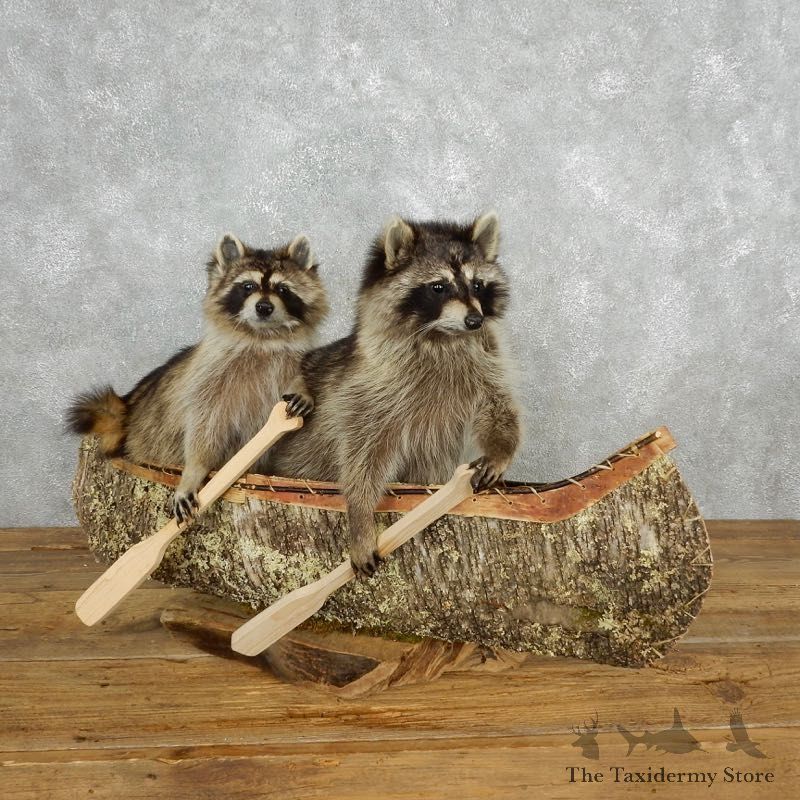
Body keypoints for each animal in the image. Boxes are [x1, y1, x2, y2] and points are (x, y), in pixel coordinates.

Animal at [68, 232, 328, 522]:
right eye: (247, 286)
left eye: (283, 289)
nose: (264, 307)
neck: (261, 337)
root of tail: (127, 406)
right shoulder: (209, 377)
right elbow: (203, 426)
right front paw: (194, 472)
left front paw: (302, 387)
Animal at [272, 212, 522, 576]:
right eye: (438, 287)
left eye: (477, 285)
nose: (475, 320)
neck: (441, 336)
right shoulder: (369, 389)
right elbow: (361, 453)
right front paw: (360, 513)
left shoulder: (487, 361)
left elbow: (498, 406)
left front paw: (500, 452)